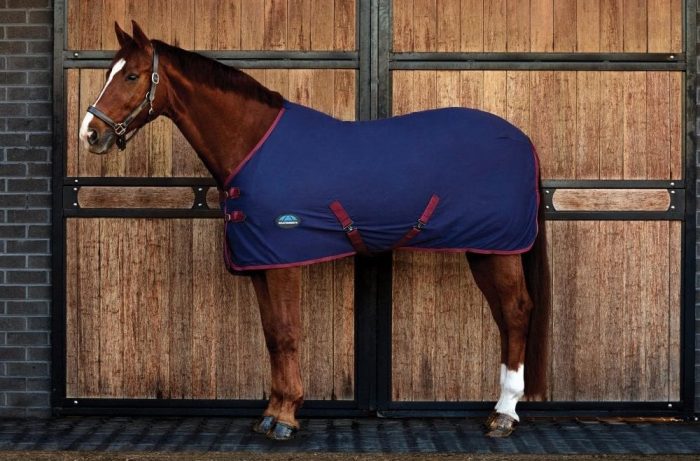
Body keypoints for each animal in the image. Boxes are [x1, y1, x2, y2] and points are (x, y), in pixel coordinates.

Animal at [79, 21, 551, 440]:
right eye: (107, 73)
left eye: (133, 75)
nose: (90, 133)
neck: (253, 143)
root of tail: (524, 140)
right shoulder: (260, 263)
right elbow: (272, 336)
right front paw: (273, 412)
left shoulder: (282, 258)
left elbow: (287, 333)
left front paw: (285, 418)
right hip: (485, 250)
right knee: (504, 316)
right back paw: (499, 408)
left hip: (499, 248)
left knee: (515, 312)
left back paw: (505, 413)